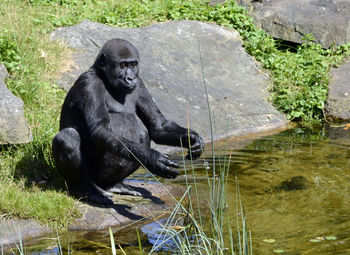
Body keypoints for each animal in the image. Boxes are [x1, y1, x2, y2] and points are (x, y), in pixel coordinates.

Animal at [52, 38, 205, 204]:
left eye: (133, 65)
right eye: (123, 65)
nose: (130, 78)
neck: (104, 77)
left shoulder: (141, 83)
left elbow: (158, 126)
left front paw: (192, 138)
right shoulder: (89, 84)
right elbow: (99, 130)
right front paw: (152, 158)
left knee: (142, 135)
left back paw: (115, 185)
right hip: (91, 177)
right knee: (68, 137)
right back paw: (85, 188)